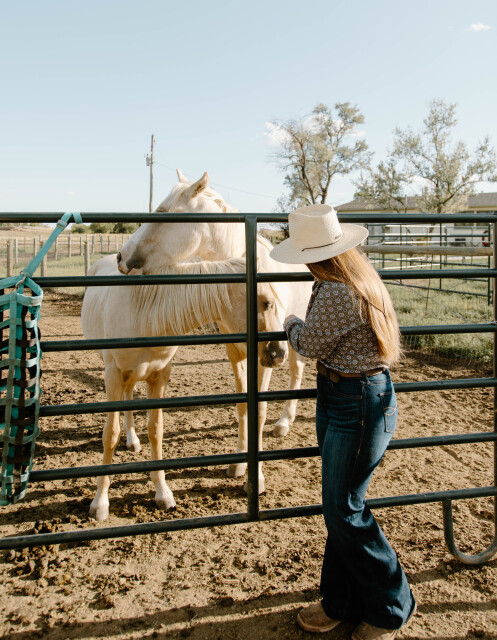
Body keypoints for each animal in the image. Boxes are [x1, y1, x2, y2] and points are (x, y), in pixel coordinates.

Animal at [81, 251, 288, 521]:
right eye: (267, 303)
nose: (280, 353)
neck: (144, 314)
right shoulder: (113, 376)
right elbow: (110, 435)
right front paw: (100, 502)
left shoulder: (159, 377)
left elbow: (156, 431)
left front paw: (162, 493)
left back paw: (133, 440)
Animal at [117, 169, 313, 438]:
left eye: (165, 212)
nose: (121, 257)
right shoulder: (235, 354)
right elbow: (244, 405)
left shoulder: (266, 355)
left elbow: (260, 409)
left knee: (297, 371)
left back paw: (284, 422)